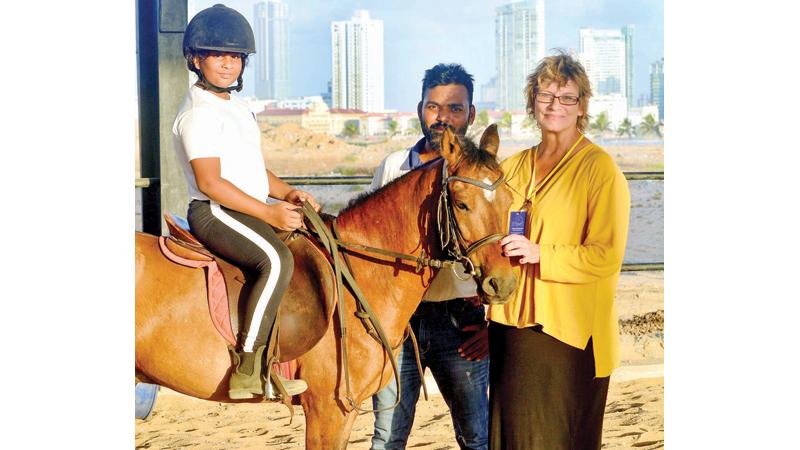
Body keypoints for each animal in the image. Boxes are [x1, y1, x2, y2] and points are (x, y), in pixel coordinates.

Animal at [135, 125, 516, 448]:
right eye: (462, 204)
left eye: (508, 202)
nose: (503, 283)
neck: (358, 275)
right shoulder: (328, 409)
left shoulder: (344, 412)